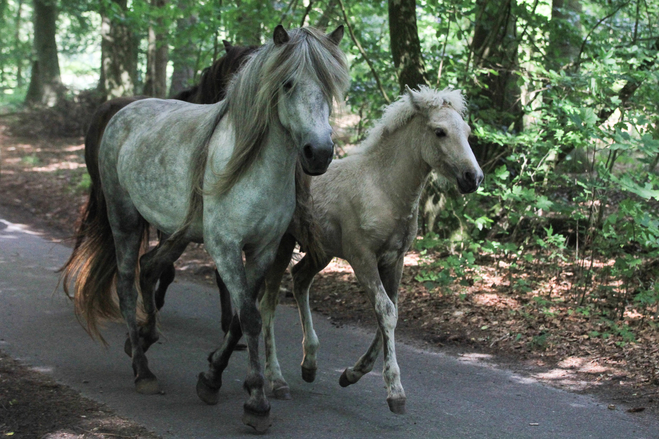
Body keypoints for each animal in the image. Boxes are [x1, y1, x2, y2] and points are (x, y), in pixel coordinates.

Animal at [61, 24, 350, 434]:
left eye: (329, 85)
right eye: (288, 83)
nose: (319, 153)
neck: (252, 168)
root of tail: (123, 112)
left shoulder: (262, 250)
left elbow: (243, 318)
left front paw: (213, 377)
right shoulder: (225, 246)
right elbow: (249, 316)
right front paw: (256, 403)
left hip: (176, 232)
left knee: (150, 267)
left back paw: (145, 338)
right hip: (125, 219)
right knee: (126, 282)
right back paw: (142, 370)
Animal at [260, 86, 484, 416]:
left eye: (467, 132)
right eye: (440, 131)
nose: (473, 177)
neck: (384, 189)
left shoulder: (395, 260)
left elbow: (391, 312)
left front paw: (351, 374)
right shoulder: (362, 258)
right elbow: (385, 312)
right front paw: (395, 391)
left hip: (321, 252)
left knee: (299, 279)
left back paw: (310, 364)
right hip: (283, 244)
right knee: (269, 301)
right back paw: (275, 380)